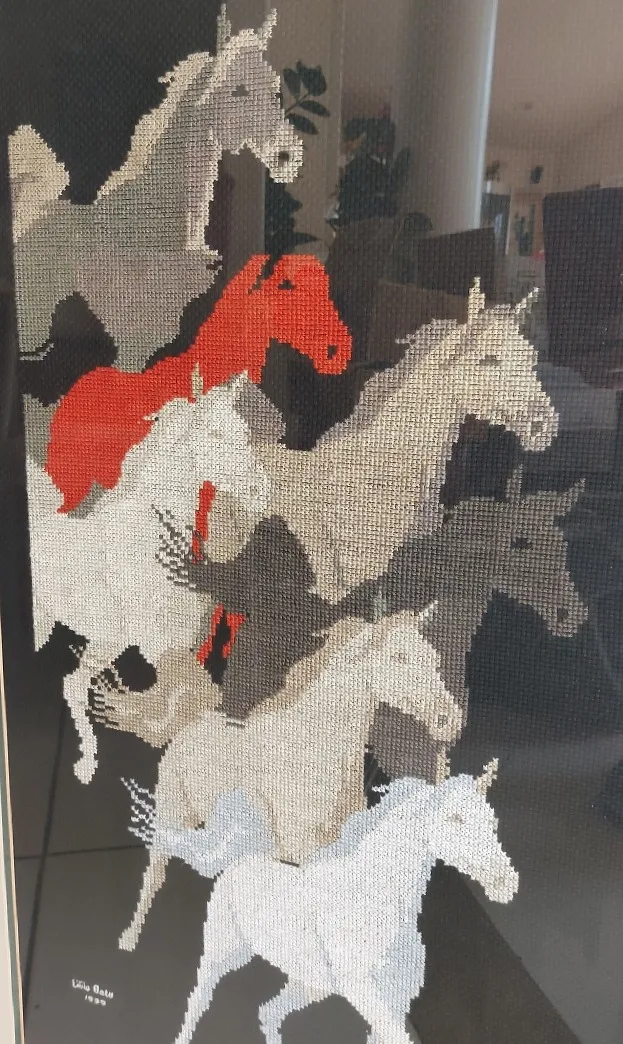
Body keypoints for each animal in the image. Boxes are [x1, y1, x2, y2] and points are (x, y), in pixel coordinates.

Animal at [27, 372, 272, 785]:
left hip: (107, 641)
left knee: (73, 685)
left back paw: (86, 766)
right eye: (215, 433)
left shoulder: (184, 643)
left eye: (244, 431)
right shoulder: (156, 645)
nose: (262, 492)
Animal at [117, 605, 463, 952]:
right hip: (172, 818)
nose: (449, 720)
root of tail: (191, 723)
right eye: (398, 657)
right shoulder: (303, 851)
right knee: (154, 875)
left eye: (432, 656)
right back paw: (129, 939)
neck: (313, 751)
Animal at [128, 761, 517, 1044]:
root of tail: (243, 859)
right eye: (455, 818)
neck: (374, 902)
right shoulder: (364, 991)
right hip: (223, 954)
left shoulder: (396, 998)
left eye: (492, 819)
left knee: (269, 1012)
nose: (507, 884)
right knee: (198, 1001)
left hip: (308, 986)